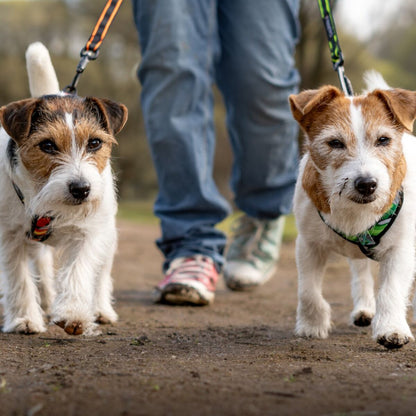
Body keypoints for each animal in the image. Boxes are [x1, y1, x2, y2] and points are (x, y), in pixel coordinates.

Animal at [290, 73, 416, 350]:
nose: (367, 184)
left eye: (383, 140)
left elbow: (391, 289)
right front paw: (312, 325)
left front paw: (391, 329)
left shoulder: (400, 249)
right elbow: (307, 290)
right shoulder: (308, 244)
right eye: (335, 143)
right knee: (361, 275)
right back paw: (364, 309)